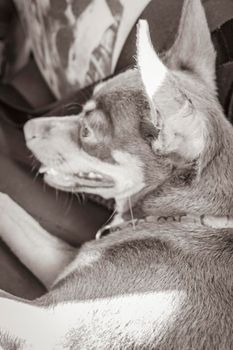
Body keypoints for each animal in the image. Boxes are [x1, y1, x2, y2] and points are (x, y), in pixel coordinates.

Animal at [0, 0, 233, 348]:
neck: (180, 215)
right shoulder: (61, 263)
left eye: (86, 131)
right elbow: (9, 207)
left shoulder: (46, 325)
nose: (27, 128)